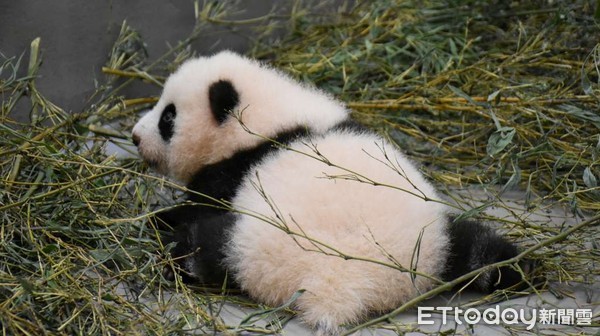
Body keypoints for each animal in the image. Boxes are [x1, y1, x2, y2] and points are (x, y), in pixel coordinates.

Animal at [131, 50, 528, 336]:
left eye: (168, 118)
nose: (135, 137)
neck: (268, 119)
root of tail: (347, 284)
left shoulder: (233, 171)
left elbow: (202, 202)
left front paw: (160, 217)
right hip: (437, 235)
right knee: (480, 245)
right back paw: (519, 269)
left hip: (258, 247)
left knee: (204, 247)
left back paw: (174, 250)